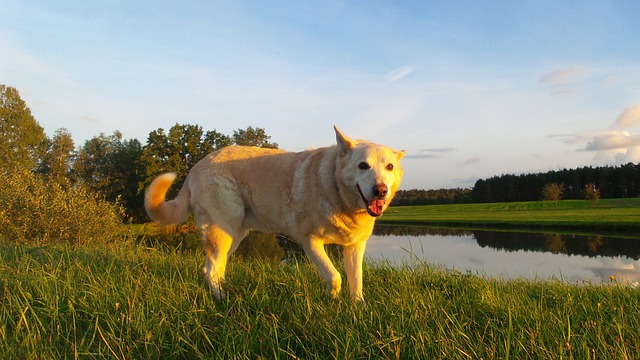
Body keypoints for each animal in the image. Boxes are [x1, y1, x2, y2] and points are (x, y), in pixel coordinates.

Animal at [145, 126, 404, 300]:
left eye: (389, 167)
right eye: (363, 165)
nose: (380, 191)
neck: (336, 189)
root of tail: (195, 167)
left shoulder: (354, 246)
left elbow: (356, 281)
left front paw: (356, 308)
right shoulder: (310, 242)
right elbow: (335, 277)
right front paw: (332, 300)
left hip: (234, 235)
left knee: (215, 268)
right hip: (222, 232)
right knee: (210, 270)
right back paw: (222, 300)